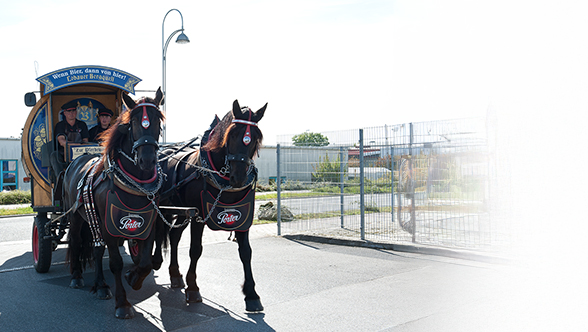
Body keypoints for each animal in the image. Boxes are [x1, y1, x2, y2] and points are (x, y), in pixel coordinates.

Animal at [63, 89, 165, 320]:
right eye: (133, 122)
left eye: (158, 121)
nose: (147, 160)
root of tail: (77, 160)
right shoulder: (110, 226)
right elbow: (116, 263)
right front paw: (122, 303)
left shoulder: (148, 222)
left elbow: (145, 262)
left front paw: (134, 278)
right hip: (76, 216)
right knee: (76, 242)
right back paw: (76, 277)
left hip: (93, 221)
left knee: (97, 249)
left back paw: (100, 285)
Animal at [156, 100, 266, 312]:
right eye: (232, 134)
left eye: (256, 138)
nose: (239, 178)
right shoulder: (199, 216)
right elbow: (195, 250)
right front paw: (193, 288)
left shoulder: (243, 216)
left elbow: (246, 252)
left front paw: (252, 294)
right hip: (159, 206)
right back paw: (151, 261)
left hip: (181, 211)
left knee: (173, 236)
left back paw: (175, 274)